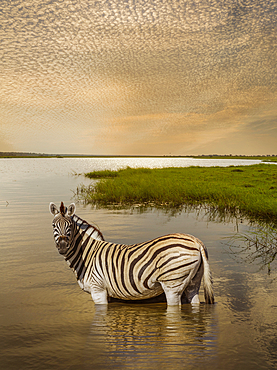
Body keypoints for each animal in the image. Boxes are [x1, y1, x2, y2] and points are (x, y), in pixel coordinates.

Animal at [49, 204, 213, 304]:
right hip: (193, 281)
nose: (62, 246)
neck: (88, 255)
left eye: (70, 226)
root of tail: (196, 241)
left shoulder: (98, 291)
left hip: (173, 284)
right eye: (53, 225)